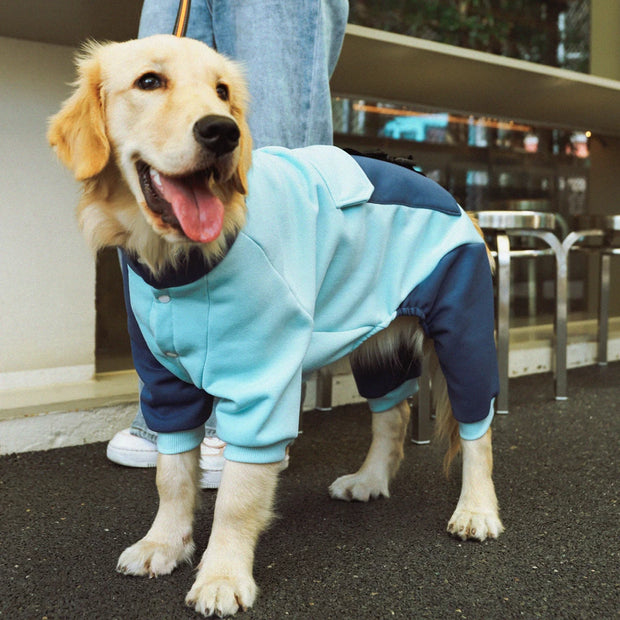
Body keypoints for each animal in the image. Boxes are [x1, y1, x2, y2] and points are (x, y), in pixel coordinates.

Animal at [121, 147, 498, 460]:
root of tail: (455, 202)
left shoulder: (261, 377)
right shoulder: (161, 371)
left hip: (462, 334)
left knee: (476, 421)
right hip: (380, 339)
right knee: (393, 410)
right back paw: (368, 482)